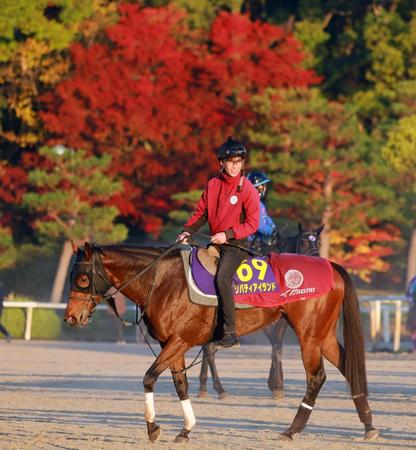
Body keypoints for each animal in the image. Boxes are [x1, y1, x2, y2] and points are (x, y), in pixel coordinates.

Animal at [64, 241, 376, 442]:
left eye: (82, 278)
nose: (71, 317)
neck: (163, 280)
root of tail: (330, 265)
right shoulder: (171, 345)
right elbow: (180, 384)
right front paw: (186, 428)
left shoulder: (180, 341)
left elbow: (149, 377)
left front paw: (153, 427)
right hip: (323, 336)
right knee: (349, 369)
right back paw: (368, 425)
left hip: (309, 336)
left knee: (317, 377)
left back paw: (292, 430)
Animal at [197, 223, 324, 400]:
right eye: (304, 242)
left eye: (319, 243)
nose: (316, 261)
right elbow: (276, 346)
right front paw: (277, 384)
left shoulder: (280, 320)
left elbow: (277, 347)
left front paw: (276, 384)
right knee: (208, 348)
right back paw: (215, 388)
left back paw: (204, 386)